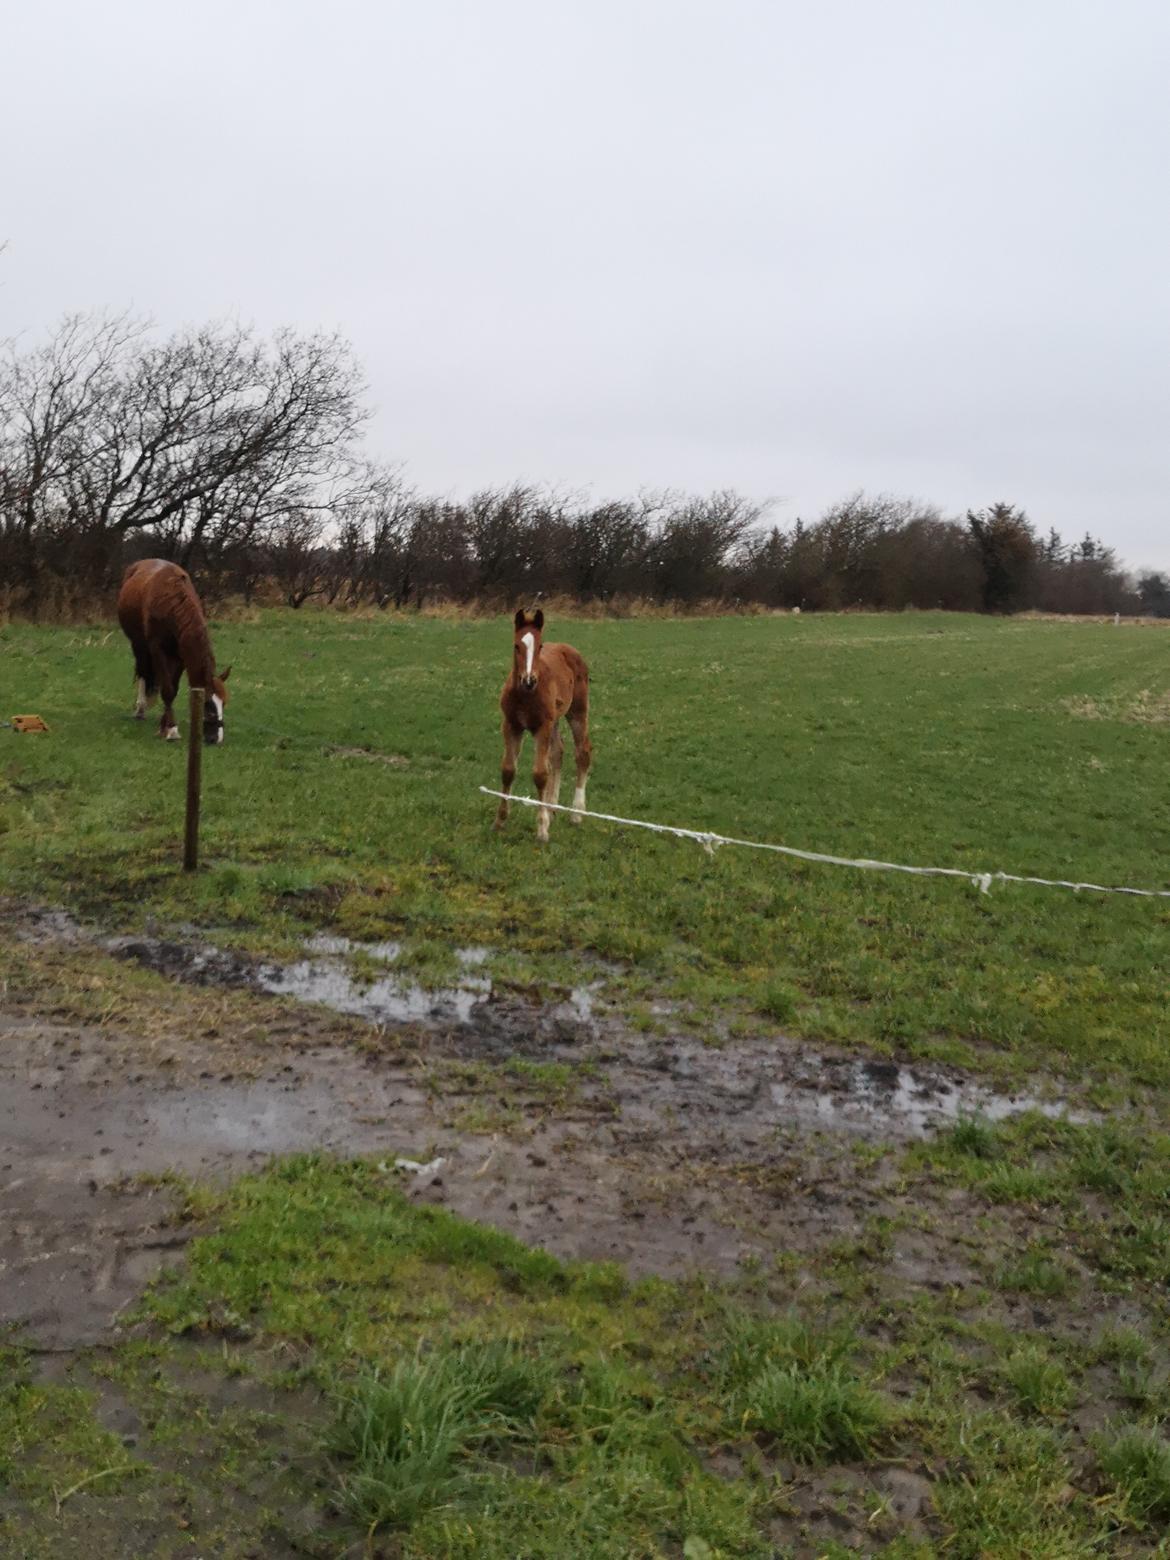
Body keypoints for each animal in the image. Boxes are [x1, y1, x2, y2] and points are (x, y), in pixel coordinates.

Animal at [117, 561, 230, 742]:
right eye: (208, 705)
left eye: (223, 703)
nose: (216, 738)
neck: (171, 604)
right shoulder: (157, 650)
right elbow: (167, 690)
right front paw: (171, 729)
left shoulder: (181, 655)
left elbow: (172, 688)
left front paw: (164, 725)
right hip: (139, 645)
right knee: (143, 672)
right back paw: (140, 709)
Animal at [496, 605, 595, 842]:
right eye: (516, 645)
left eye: (540, 646)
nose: (529, 680)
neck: (525, 695)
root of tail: (570, 649)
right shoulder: (511, 725)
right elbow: (508, 770)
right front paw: (500, 821)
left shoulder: (541, 727)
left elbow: (540, 773)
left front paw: (541, 829)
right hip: (555, 720)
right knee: (558, 752)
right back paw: (552, 808)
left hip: (577, 712)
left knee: (583, 752)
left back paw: (576, 813)